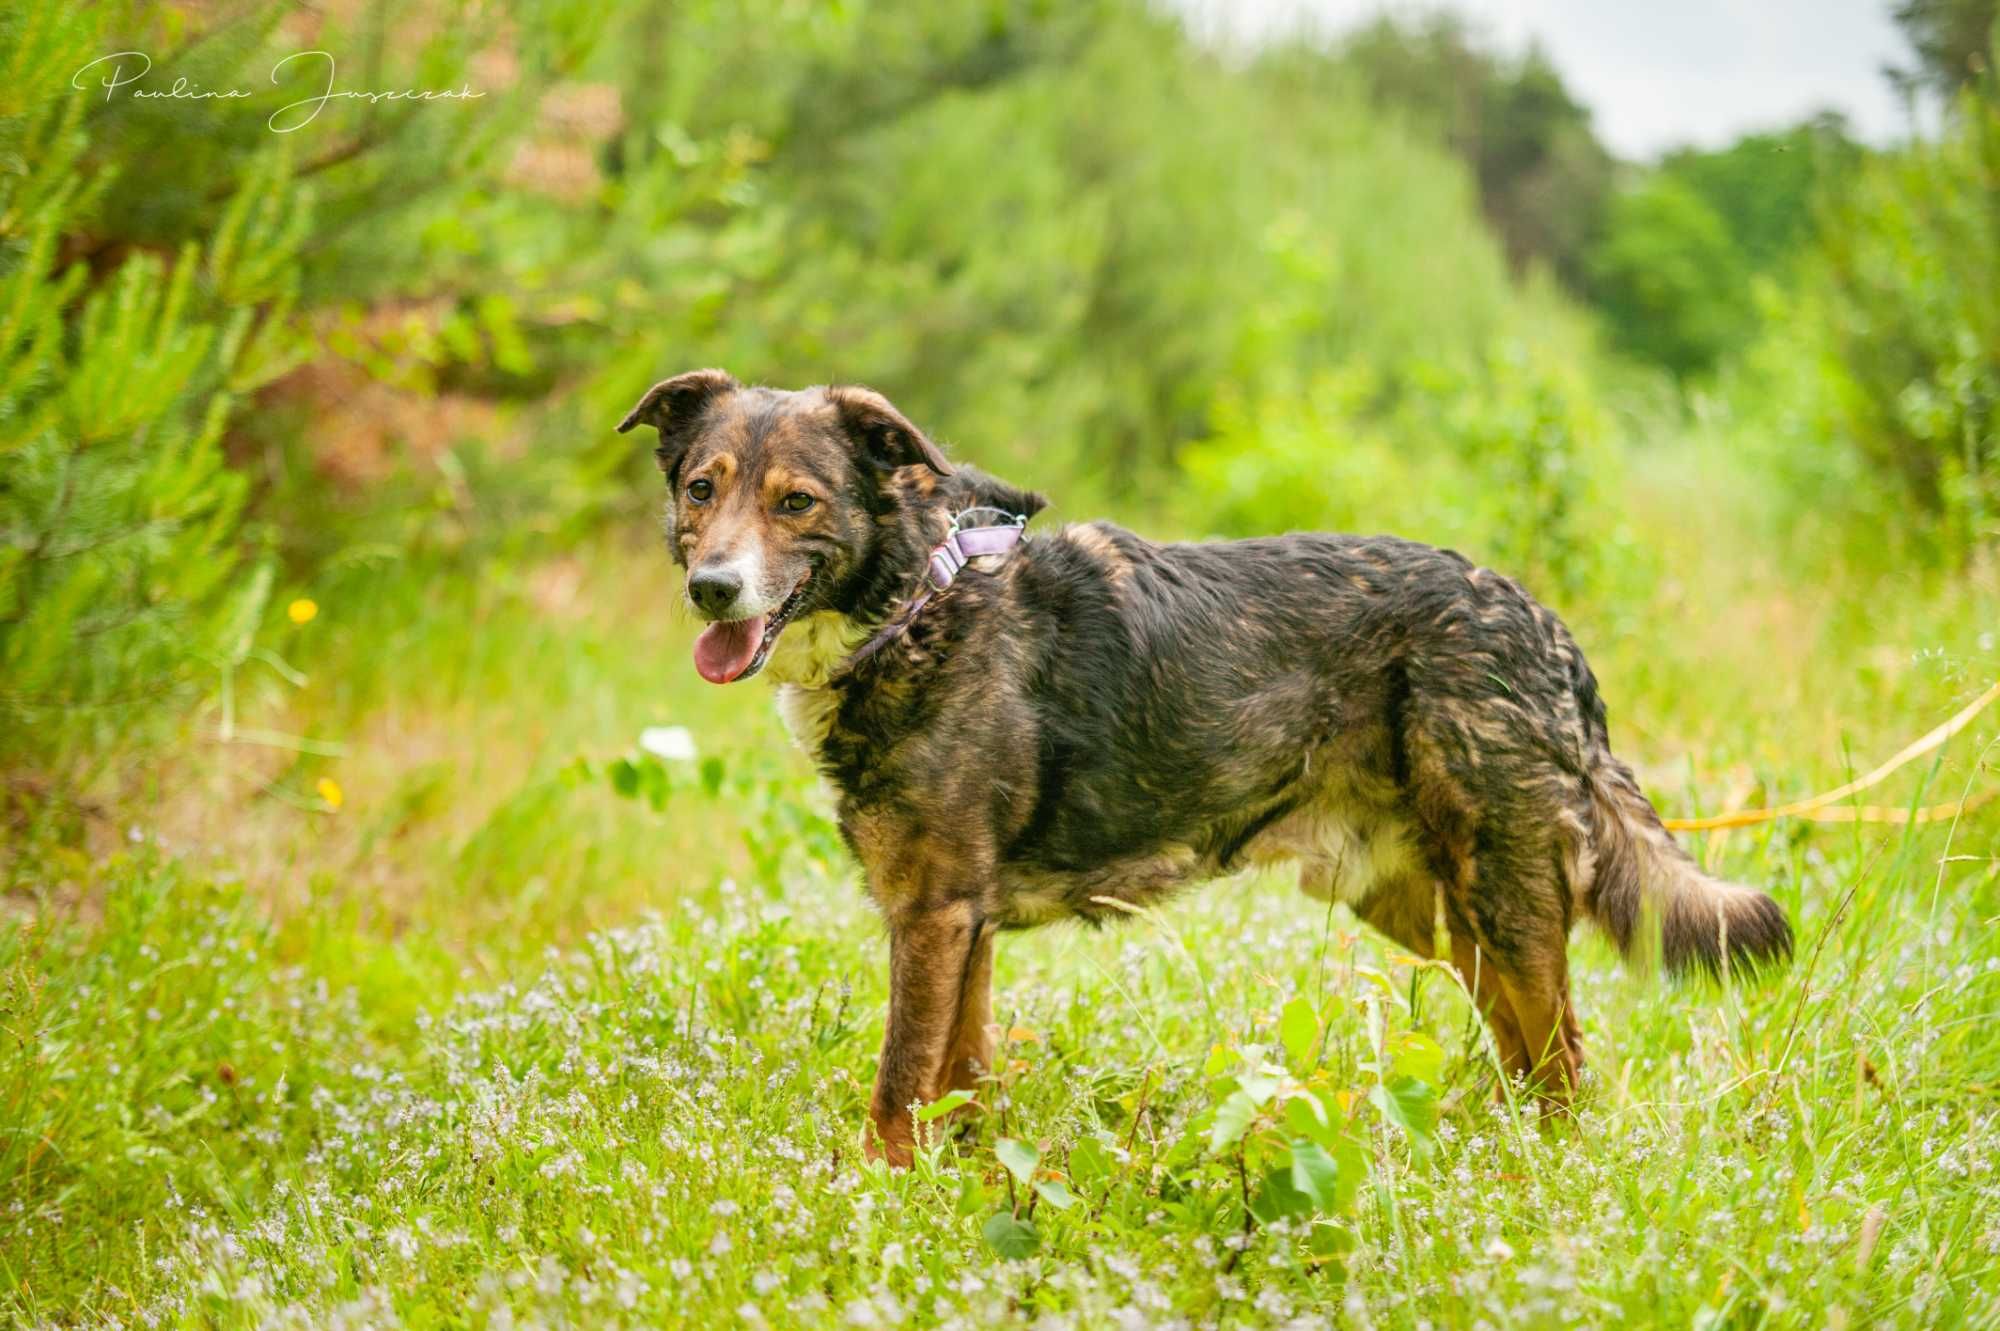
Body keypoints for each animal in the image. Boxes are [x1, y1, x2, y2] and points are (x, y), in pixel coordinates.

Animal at [616, 365, 1792, 1159]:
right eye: (702, 489)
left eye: (796, 501)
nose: (712, 588)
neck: (921, 593)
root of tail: (1542, 624)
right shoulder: (963, 923)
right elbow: (961, 1079)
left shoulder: (933, 913)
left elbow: (898, 1088)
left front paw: (881, 1200)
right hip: (1439, 911)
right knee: (1529, 1053)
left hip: (1500, 889)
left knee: (1566, 1064)